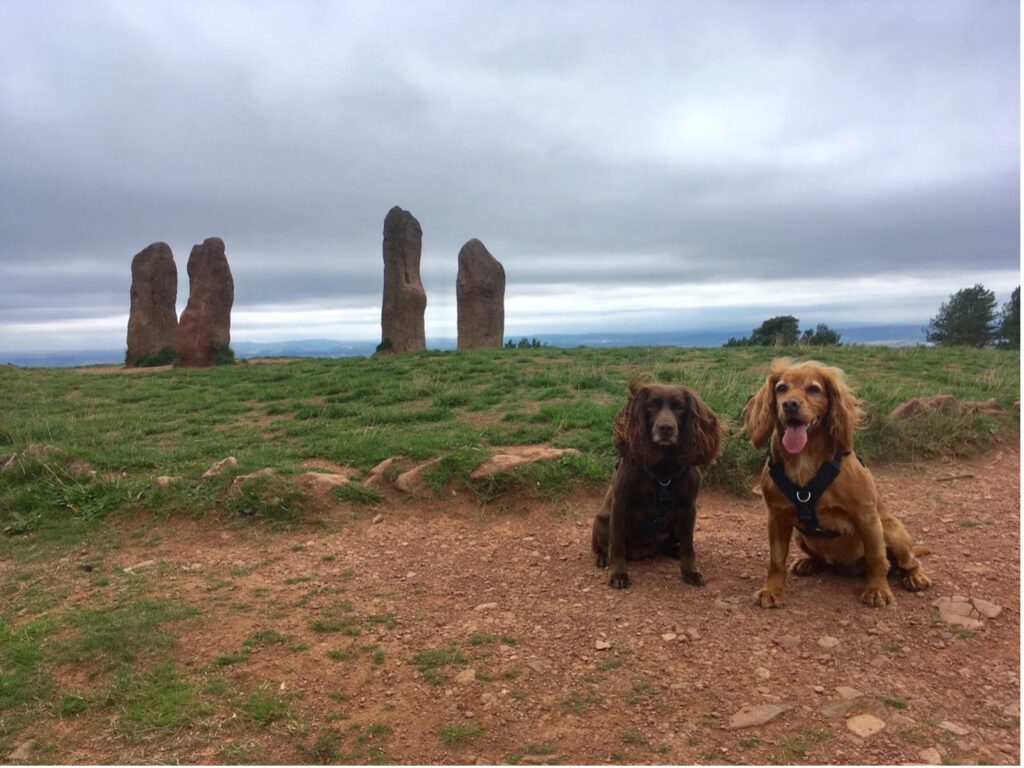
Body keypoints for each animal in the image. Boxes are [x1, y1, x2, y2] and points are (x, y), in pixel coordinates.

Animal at [589, 378, 724, 589]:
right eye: (651, 405)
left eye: (680, 407)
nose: (666, 428)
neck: (664, 469)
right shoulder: (620, 505)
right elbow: (617, 544)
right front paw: (618, 574)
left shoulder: (688, 508)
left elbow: (689, 546)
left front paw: (690, 571)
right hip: (601, 522)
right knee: (603, 546)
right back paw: (603, 558)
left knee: (672, 545)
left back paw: (675, 551)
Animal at [745, 360, 929, 606]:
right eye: (781, 388)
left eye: (813, 389)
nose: (790, 405)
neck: (804, 459)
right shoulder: (777, 518)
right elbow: (776, 561)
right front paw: (772, 591)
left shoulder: (867, 517)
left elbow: (876, 558)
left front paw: (878, 590)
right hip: (800, 536)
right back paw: (809, 563)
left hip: (891, 530)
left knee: (908, 561)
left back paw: (915, 576)